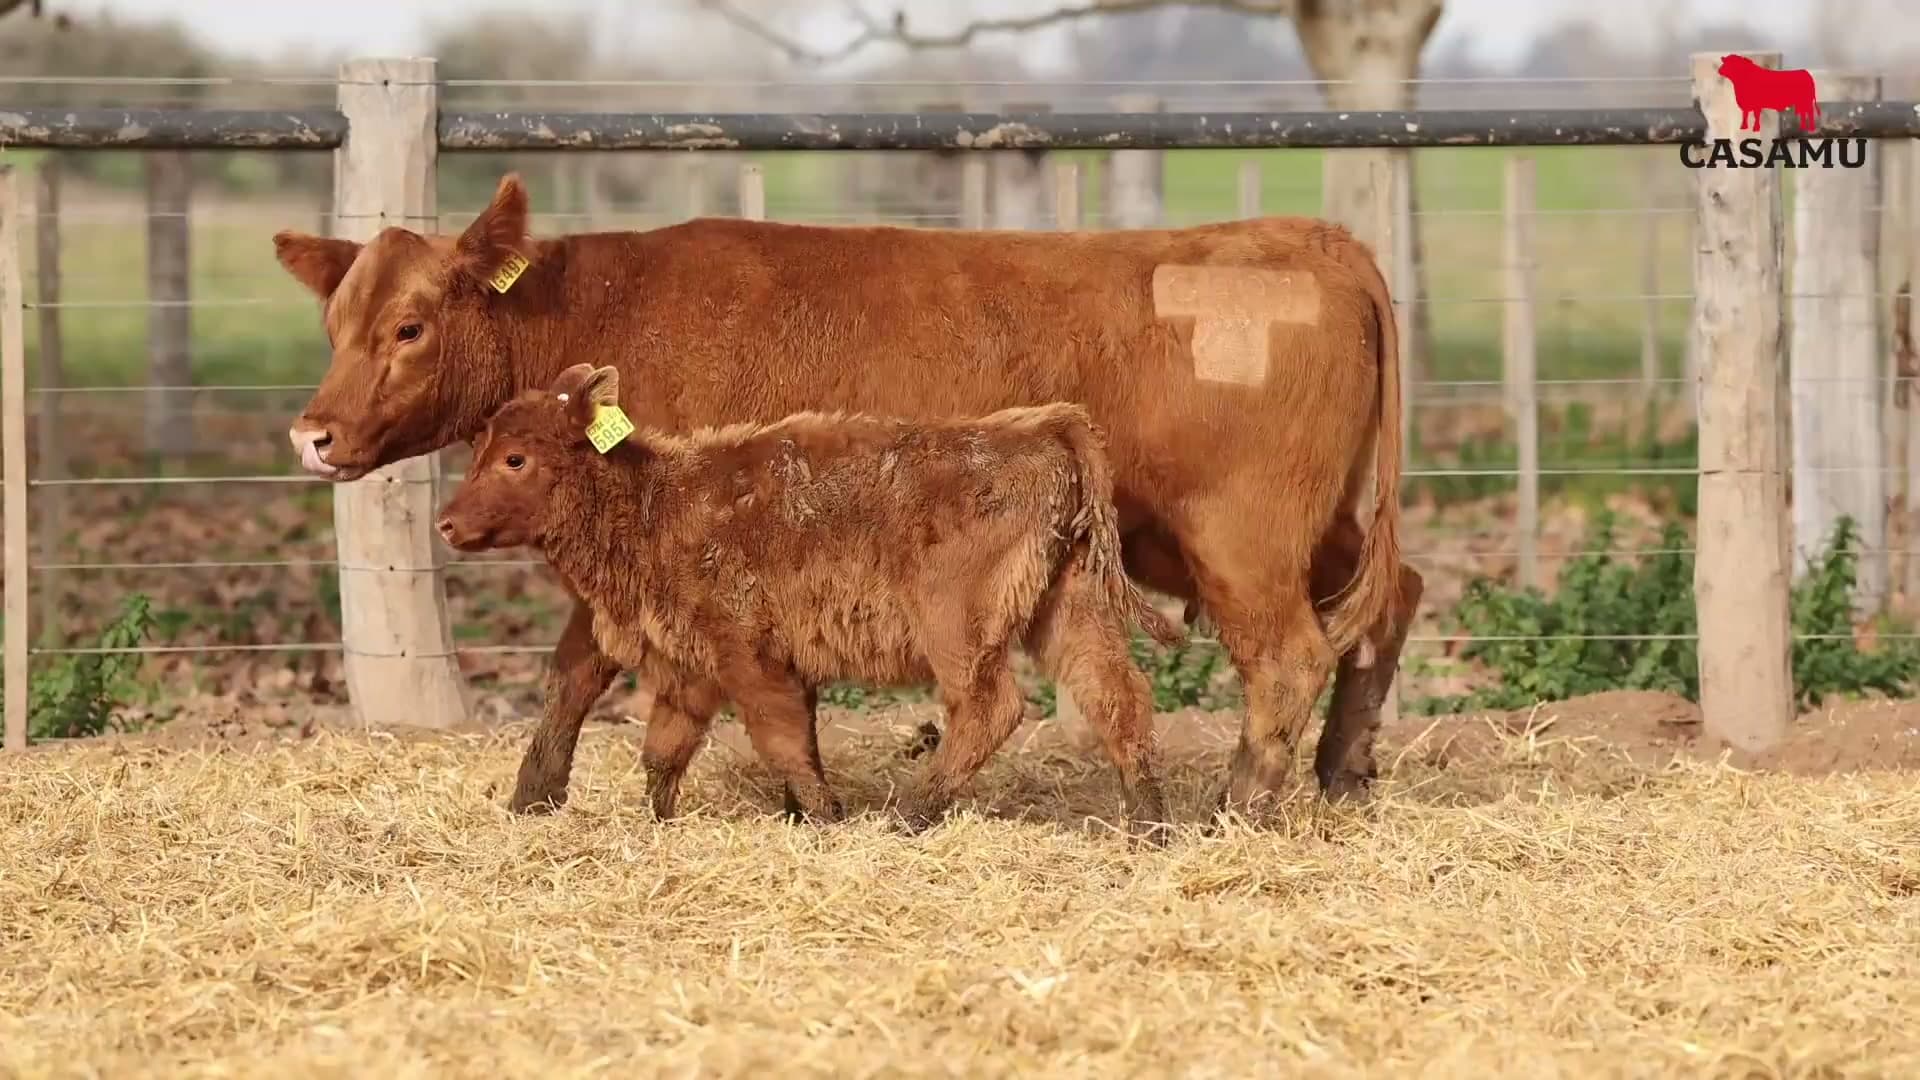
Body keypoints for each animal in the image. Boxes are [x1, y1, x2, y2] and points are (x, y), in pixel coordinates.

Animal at [435, 363, 1183, 838]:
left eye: (516, 459)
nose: (445, 523)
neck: (654, 502)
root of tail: (1047, 428)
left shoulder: (749, 659)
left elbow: (784, 743)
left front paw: (826, 818)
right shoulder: (690, 670)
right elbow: (664, 751)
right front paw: (660, 824)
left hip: (958, 630)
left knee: (989, 708)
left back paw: (911, 815)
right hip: (1070, 612)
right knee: (1117, 698)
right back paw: (1149, 828)